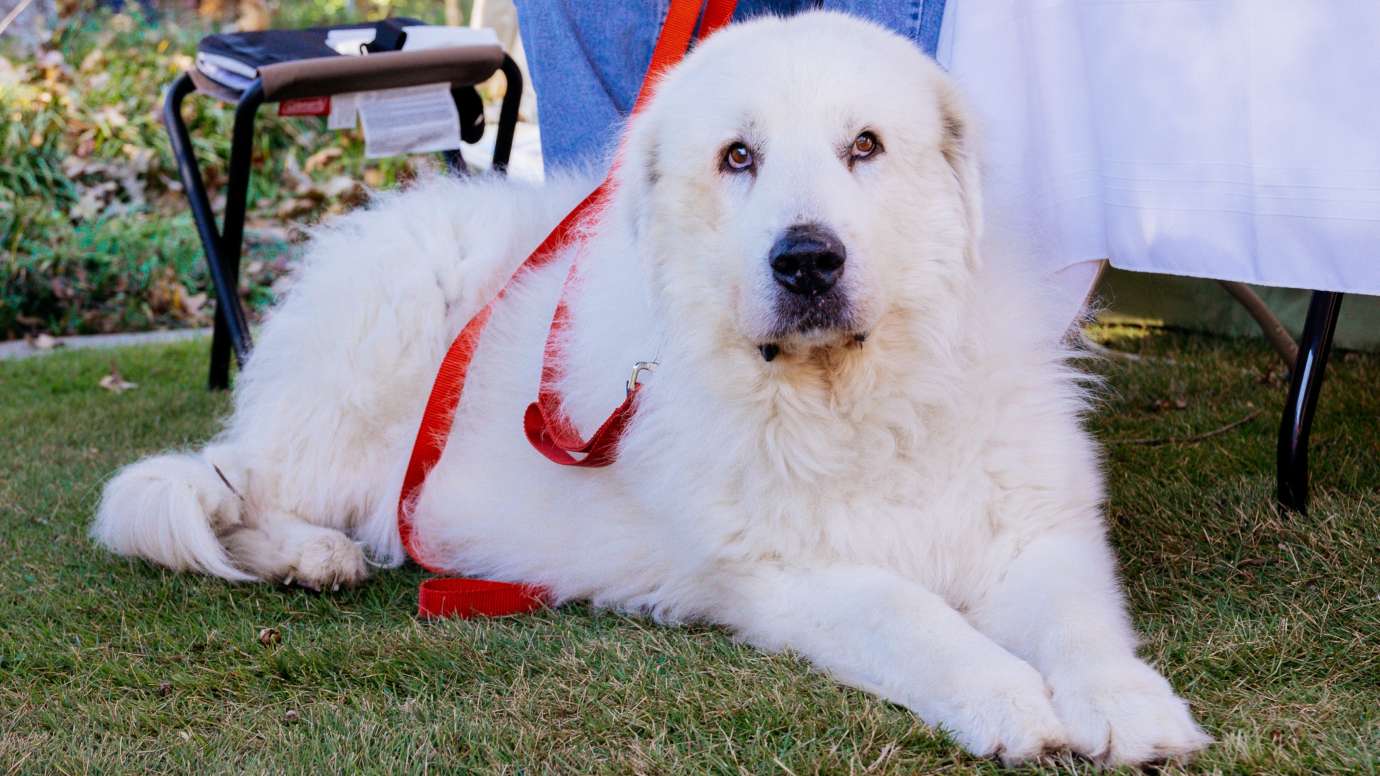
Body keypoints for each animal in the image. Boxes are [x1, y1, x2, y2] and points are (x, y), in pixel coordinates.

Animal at [94, 10, 1208, 762]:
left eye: (866, 146)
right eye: (739, 157)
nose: (807, 260)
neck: (851, 402)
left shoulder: (1038, 529)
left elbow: (1078, 622)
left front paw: (1130, 705)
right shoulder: (788, 574)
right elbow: (917, 619)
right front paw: (1012, 700)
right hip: (377, 343)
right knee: (216, 486)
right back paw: (307, 554)